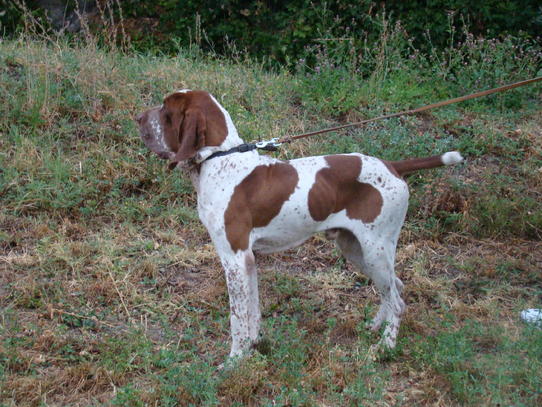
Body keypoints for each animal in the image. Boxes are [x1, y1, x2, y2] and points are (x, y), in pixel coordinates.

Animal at [136, 89, 463, 358]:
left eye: (165, 110)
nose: (138, 117)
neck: (221, 161)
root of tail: (392, 166)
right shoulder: (248, 261)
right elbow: (253, 311)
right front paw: (254, 347)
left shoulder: (234, 258)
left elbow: (237, 318)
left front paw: (234, 361)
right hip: (357, 250)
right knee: (395, 288)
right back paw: (374, 328)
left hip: (375, 251)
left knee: (396, 300)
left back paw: (385, 347)